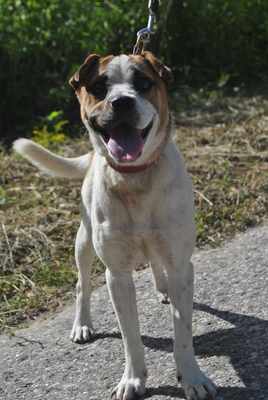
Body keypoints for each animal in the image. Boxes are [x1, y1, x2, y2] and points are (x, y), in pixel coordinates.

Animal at [13, 52, 217, 400]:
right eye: (98, 87)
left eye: (144, 83)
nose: (121, 102)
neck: (135, 178)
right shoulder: (117, 276)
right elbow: (130, 336)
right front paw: (133, 380)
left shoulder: (181, 266)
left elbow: (183, 331)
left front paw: (192, 377)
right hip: (83, 242)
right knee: (81, 284)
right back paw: (82, 324)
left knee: (157, 265)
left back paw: (163, 289)